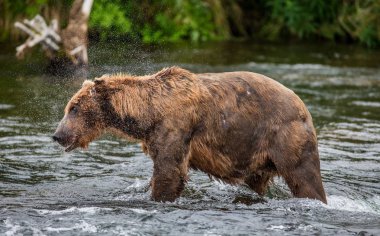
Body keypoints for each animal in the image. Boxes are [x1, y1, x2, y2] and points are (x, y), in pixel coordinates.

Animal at [52, 66, 326, 203]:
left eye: (73, 108)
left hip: (285, 135)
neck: (148, 113)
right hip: (255, 154)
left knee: (305, 177)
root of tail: (304, 106)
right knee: (257, 181)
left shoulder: (176, 127)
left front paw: (157, 197)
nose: (57, 135)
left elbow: (169, 171)